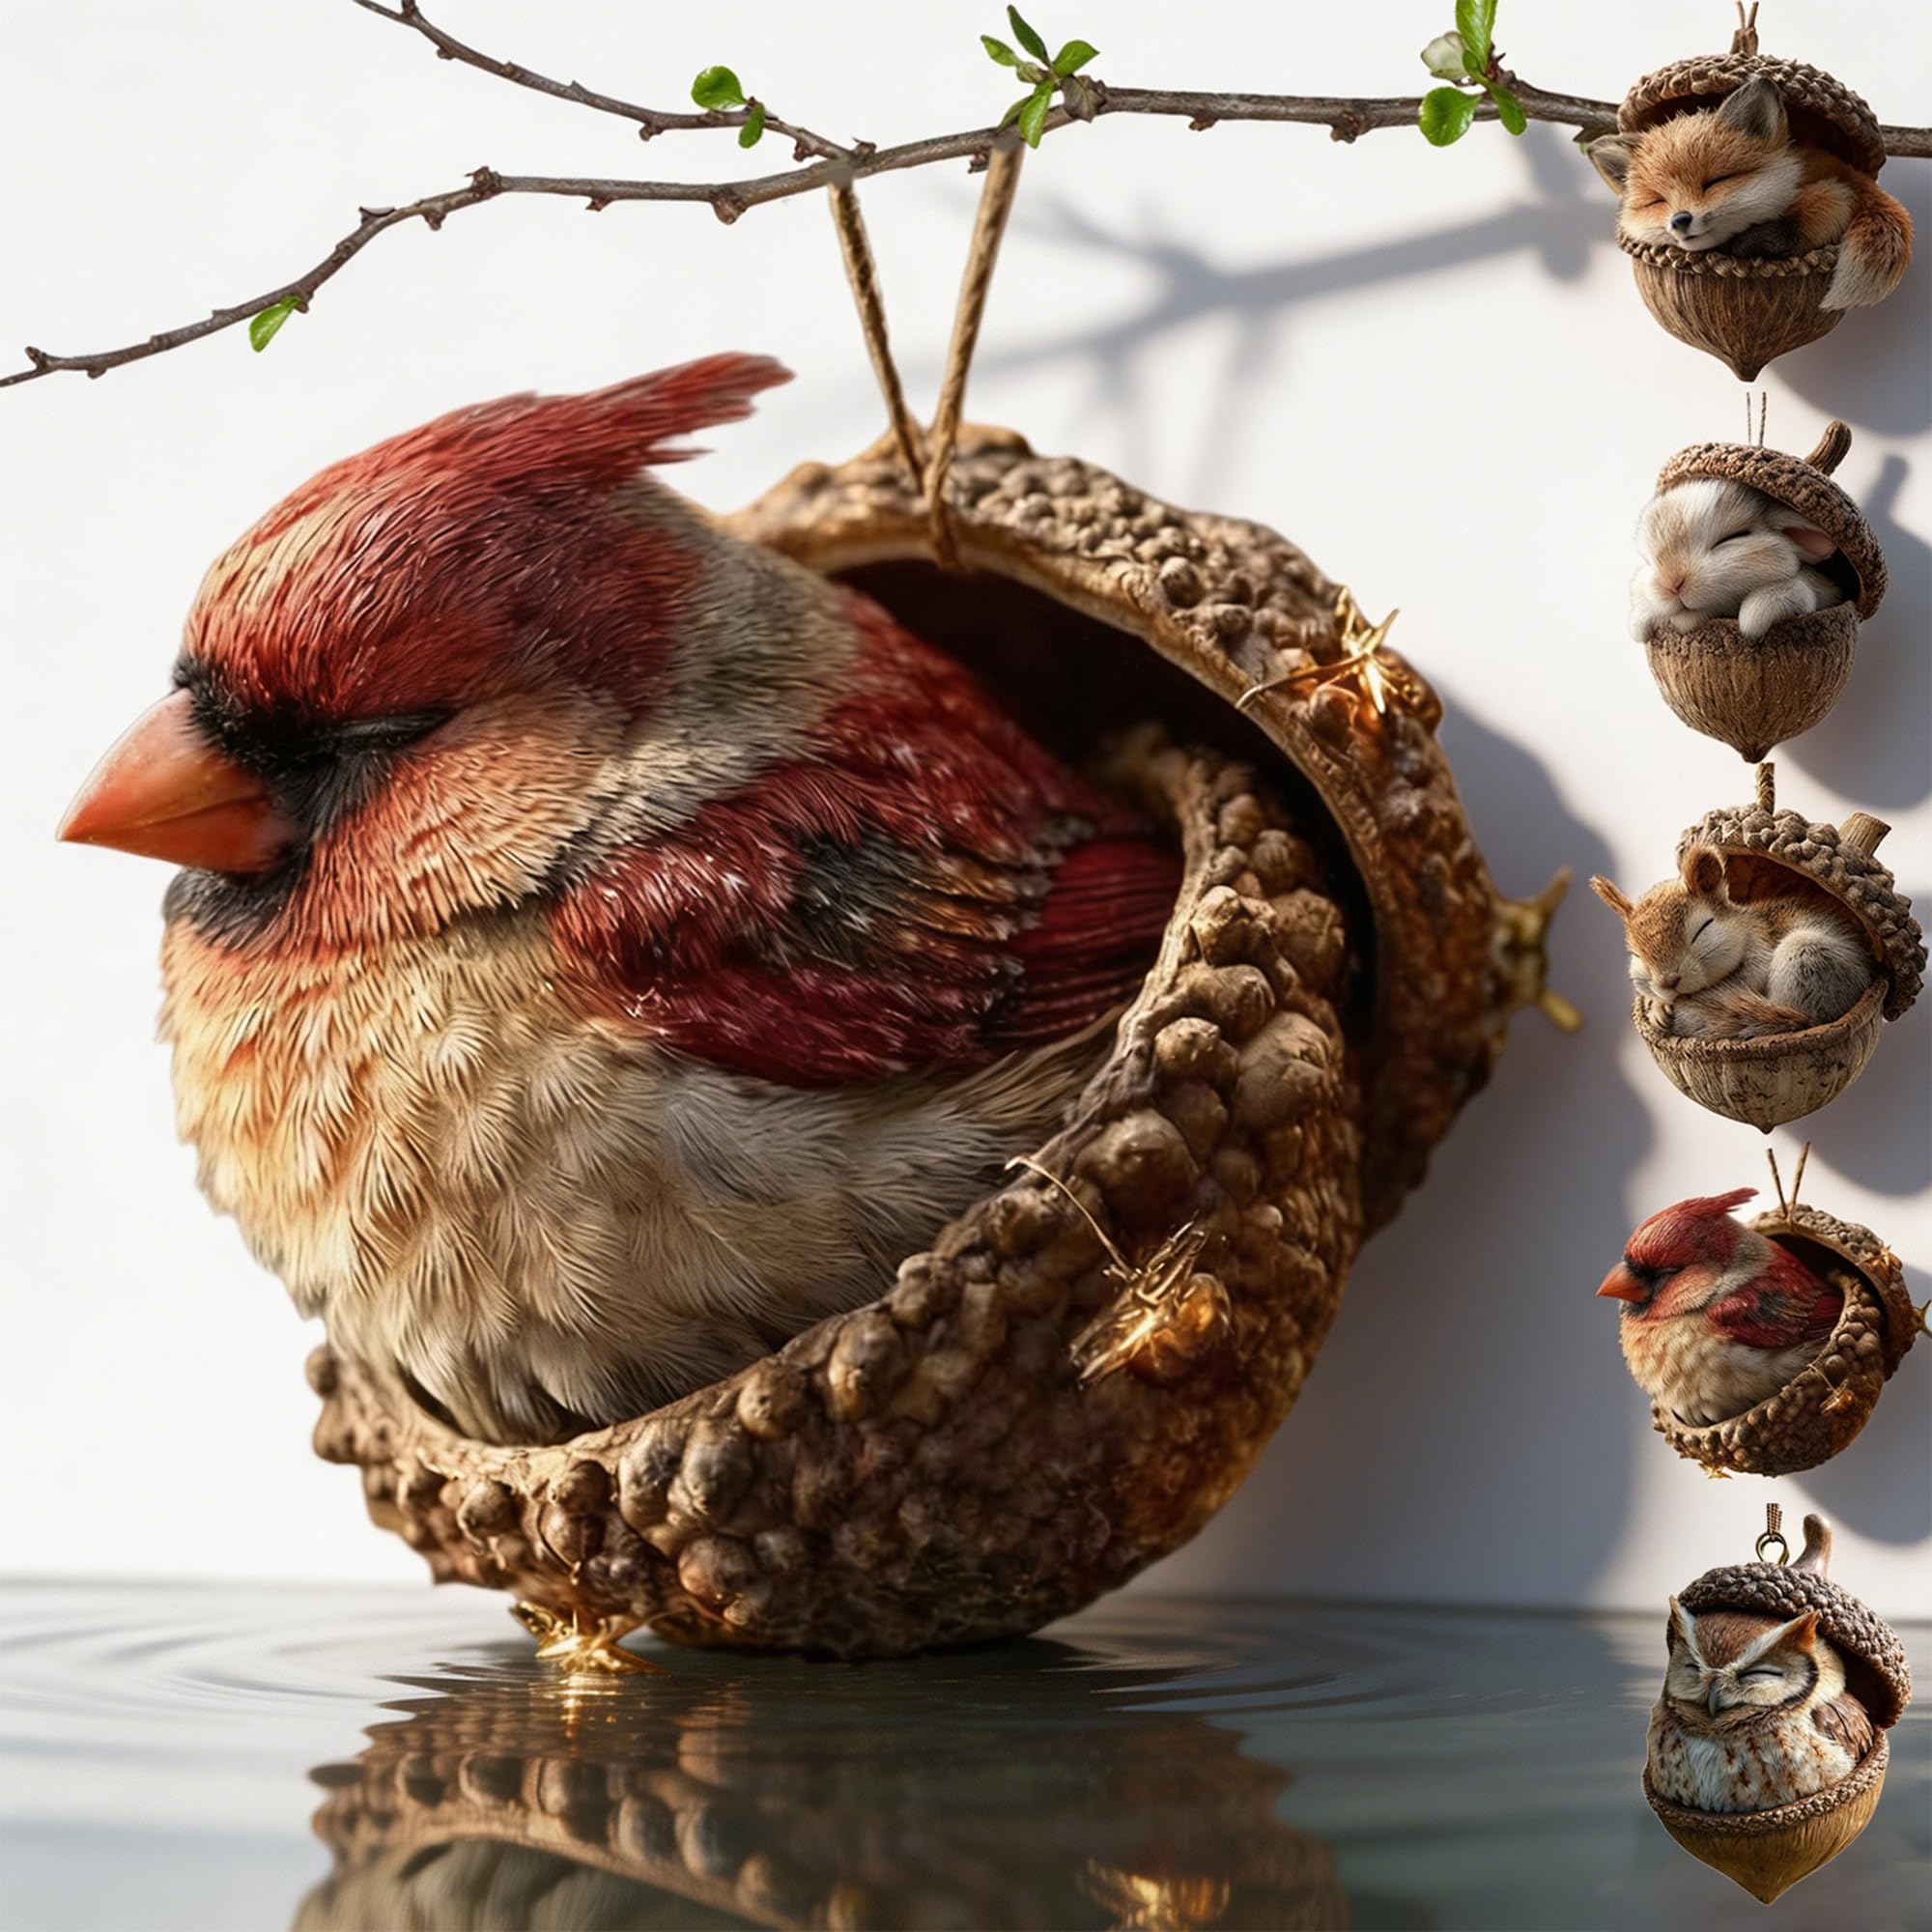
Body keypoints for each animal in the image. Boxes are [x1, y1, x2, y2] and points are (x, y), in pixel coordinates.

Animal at [1591, 846, 1874, 1041]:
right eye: (1635, 954)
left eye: (1702, 929)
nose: (1667, 982)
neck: (1743, 925)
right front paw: (1659, 1006)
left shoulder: (1759, 943)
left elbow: (1750, 976)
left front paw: (1665, 1004)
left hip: (1806, 955)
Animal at [1629, 478, 1843, 642]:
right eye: (1648, 560)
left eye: (1733, 536)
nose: (1671, 583)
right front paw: (1641, 621)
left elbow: (1796, 590)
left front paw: (1755, 615)